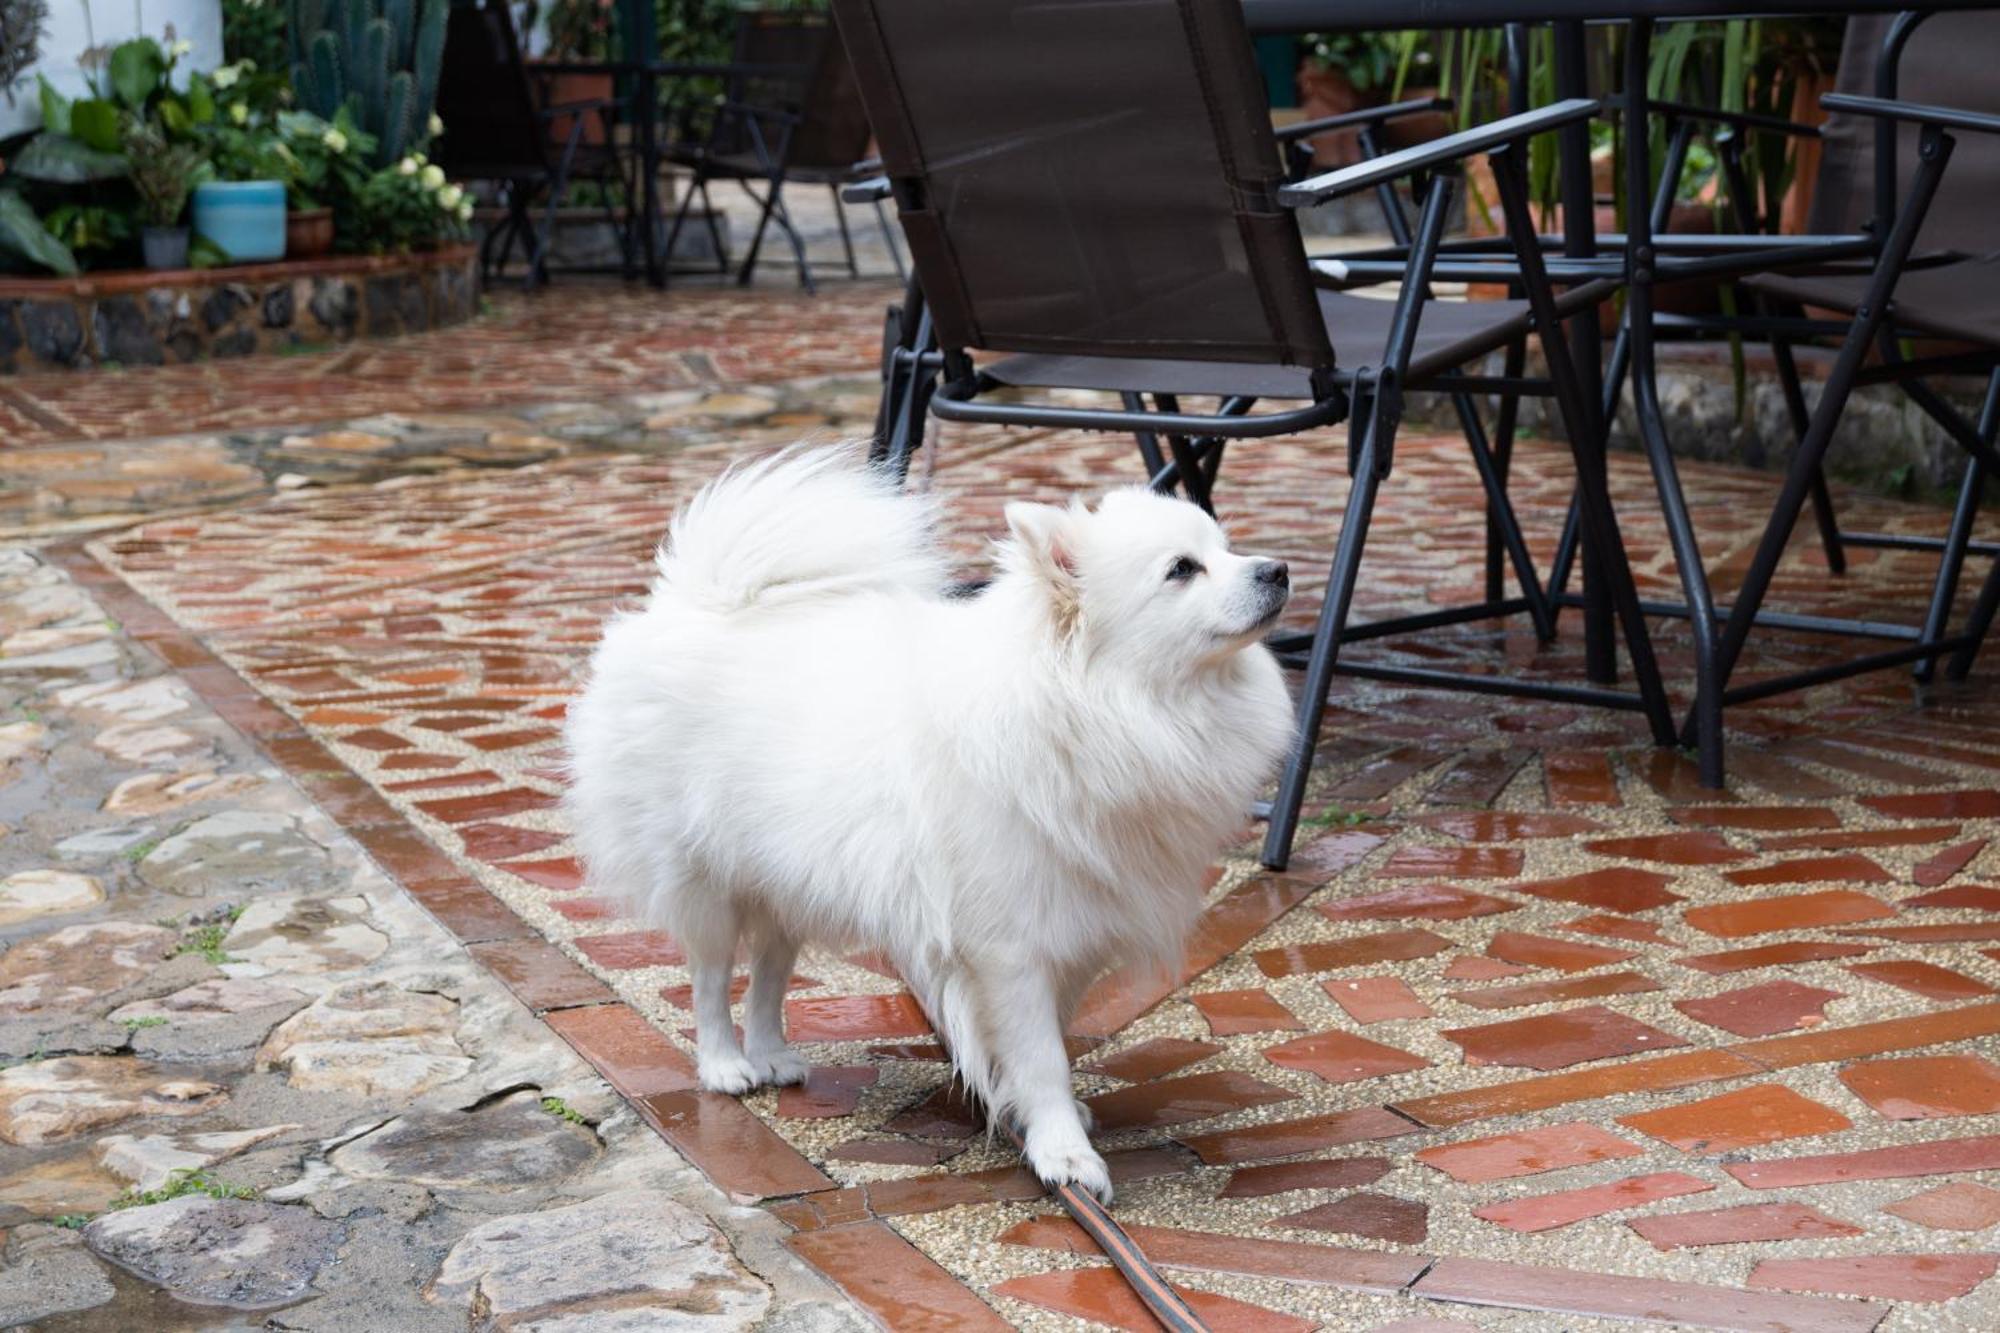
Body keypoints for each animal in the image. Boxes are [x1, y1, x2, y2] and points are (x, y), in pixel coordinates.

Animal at [564, 446, 1296, 1192]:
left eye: (1226, 548)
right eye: (1182, 569)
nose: (1277, 568)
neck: (1100, 704)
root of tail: (696, 600)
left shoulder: (1072, 927)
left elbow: (1049, 1039)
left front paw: (1034, 1114)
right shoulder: (1010, 945)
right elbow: (1041, 1053)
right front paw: (1064, 1155)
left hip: (786, 875)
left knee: (768, 972)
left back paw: (771, 1054)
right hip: (704, 878)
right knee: (711, 977)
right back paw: (726, 1066)